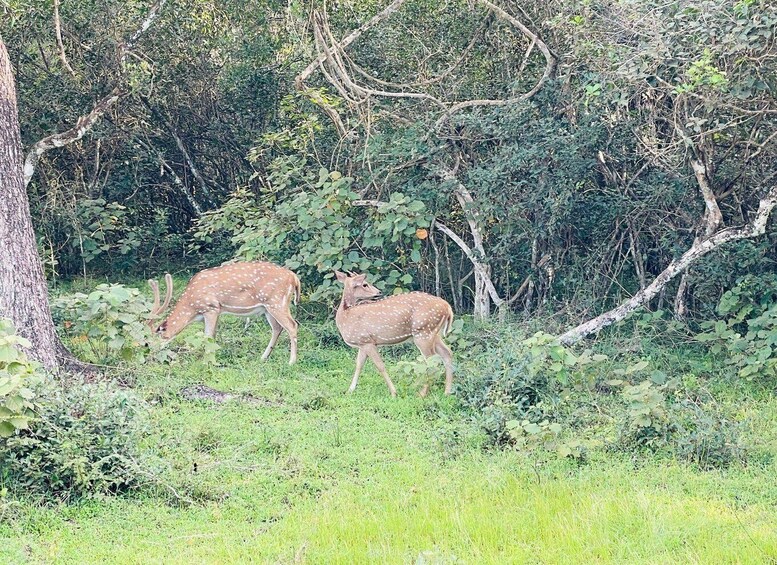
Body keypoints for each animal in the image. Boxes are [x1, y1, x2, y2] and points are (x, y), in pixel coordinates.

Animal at [148, 261, 301, 364]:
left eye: (147, 342)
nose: (149, 356)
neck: (192, 308)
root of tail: (294, 277)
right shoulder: (215, 312)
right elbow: (212, 337)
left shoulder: (211, 307)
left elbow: (208, 337)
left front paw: (207, 362)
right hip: (268, 308)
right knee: (277, 328)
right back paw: (263, 357)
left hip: (276, 302)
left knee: (292, 325)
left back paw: (291, 362)